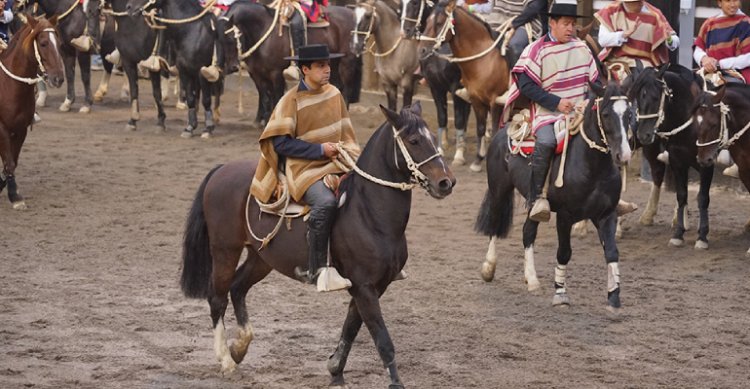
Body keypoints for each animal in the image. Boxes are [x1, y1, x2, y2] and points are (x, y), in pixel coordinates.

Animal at [0, 15, 64, 209]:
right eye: (43, 43)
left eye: (59, 43)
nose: (58, 78)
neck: (9, 86)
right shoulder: (2, 128)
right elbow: (9, 162)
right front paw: (15, 197)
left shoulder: (21, 129)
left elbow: (13, 161)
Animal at [181, 101, 456, 386]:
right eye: (413, 140)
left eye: (433, 137)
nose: (446, 182)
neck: (369, 212)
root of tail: (221, 169)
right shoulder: (364, 287)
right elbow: (382, 339)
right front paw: (394, 382)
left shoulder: (373, 287)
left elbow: (351, 327)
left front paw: (336, 371)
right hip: (225, 250)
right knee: (217, 298)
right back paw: (226, 360)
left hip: (261, 258)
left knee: (237, 288)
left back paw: (239, 347)